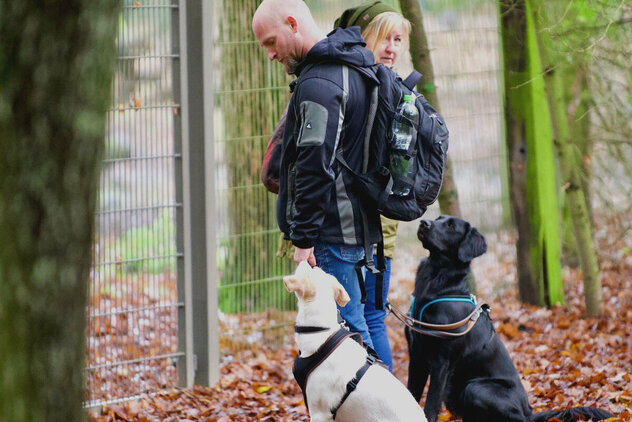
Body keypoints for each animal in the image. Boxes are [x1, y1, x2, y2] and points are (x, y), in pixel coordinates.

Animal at [404, 216, 612, 420]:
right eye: (438, 218)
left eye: (450, 225)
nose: (424, 223)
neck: (437, 283)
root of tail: (529, 412)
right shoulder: (417, 356)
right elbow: (411, 393)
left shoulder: (441, 361)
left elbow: (430, 406)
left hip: (476, 387)